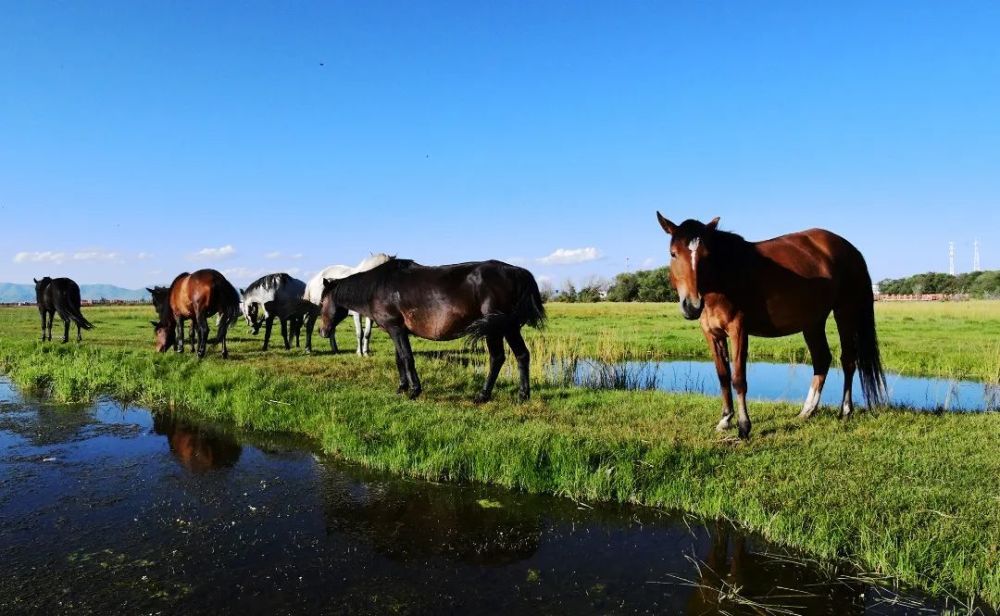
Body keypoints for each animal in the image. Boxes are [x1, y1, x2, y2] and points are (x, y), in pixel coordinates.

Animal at [660, 214, 888, 440]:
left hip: (845, 312)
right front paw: (725, 420)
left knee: (848, 360)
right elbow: (723, 376)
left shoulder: (738, 330)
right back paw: (807, 411)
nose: (692, 305)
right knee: (822, 359)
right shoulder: (712, 334)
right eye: (673, 254)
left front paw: (744, 426)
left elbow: (738, 379)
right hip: (813, 322)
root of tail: (851, 249)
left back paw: (845, 411)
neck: (724, 278)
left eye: (707, 255)